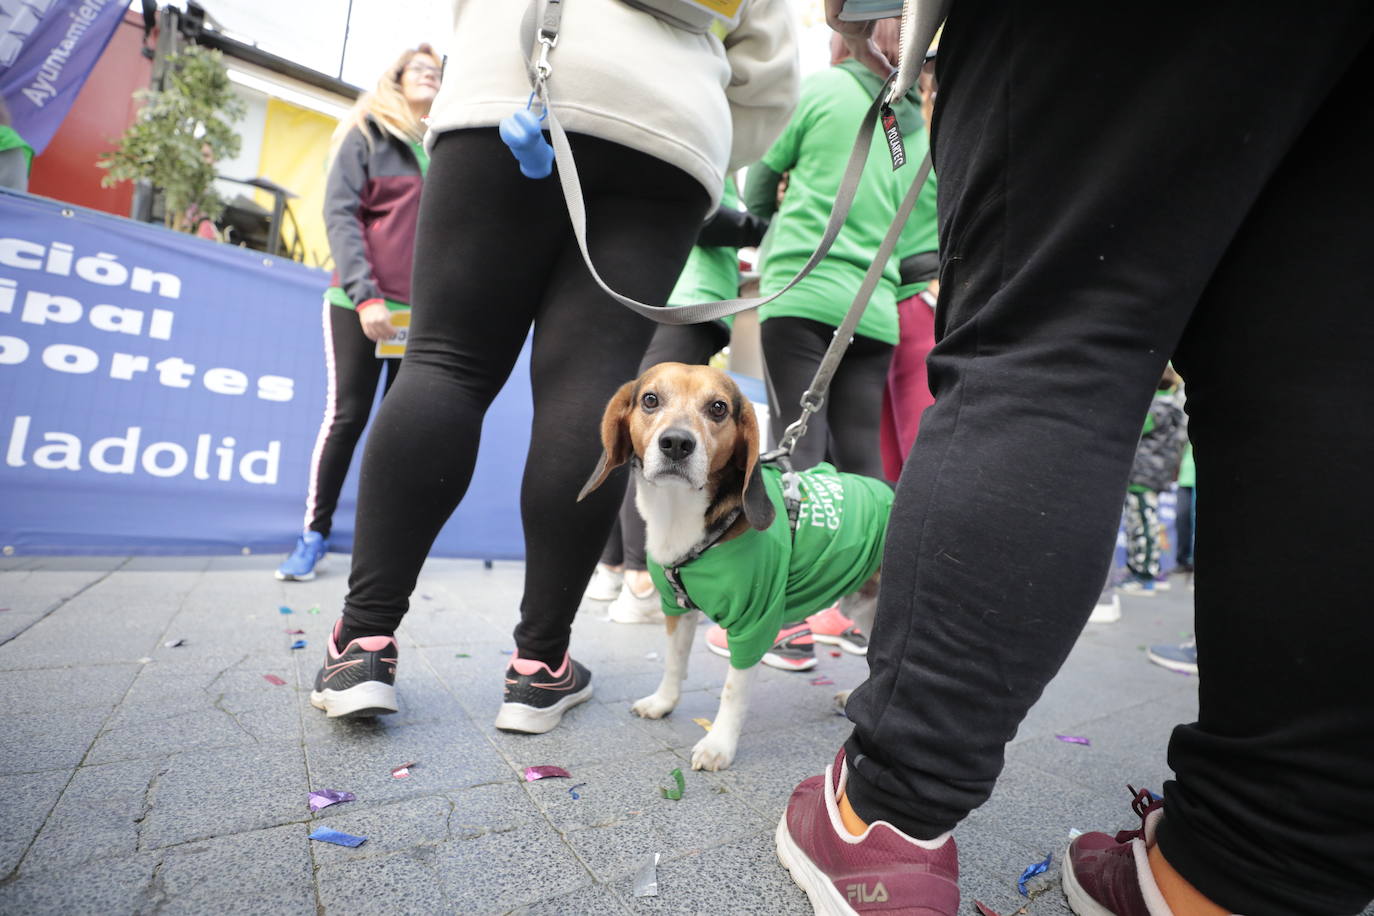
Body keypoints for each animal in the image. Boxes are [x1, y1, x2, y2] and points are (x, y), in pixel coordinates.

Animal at [577, 362, 890, 769]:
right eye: (650, 400)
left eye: (718, 408)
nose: (676, 443)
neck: (679, 516)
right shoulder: (676, 609)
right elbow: (674, 663)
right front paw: (663, 703)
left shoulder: (754, 623)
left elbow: (732, 692)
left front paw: (718, 745)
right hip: (864, 608)